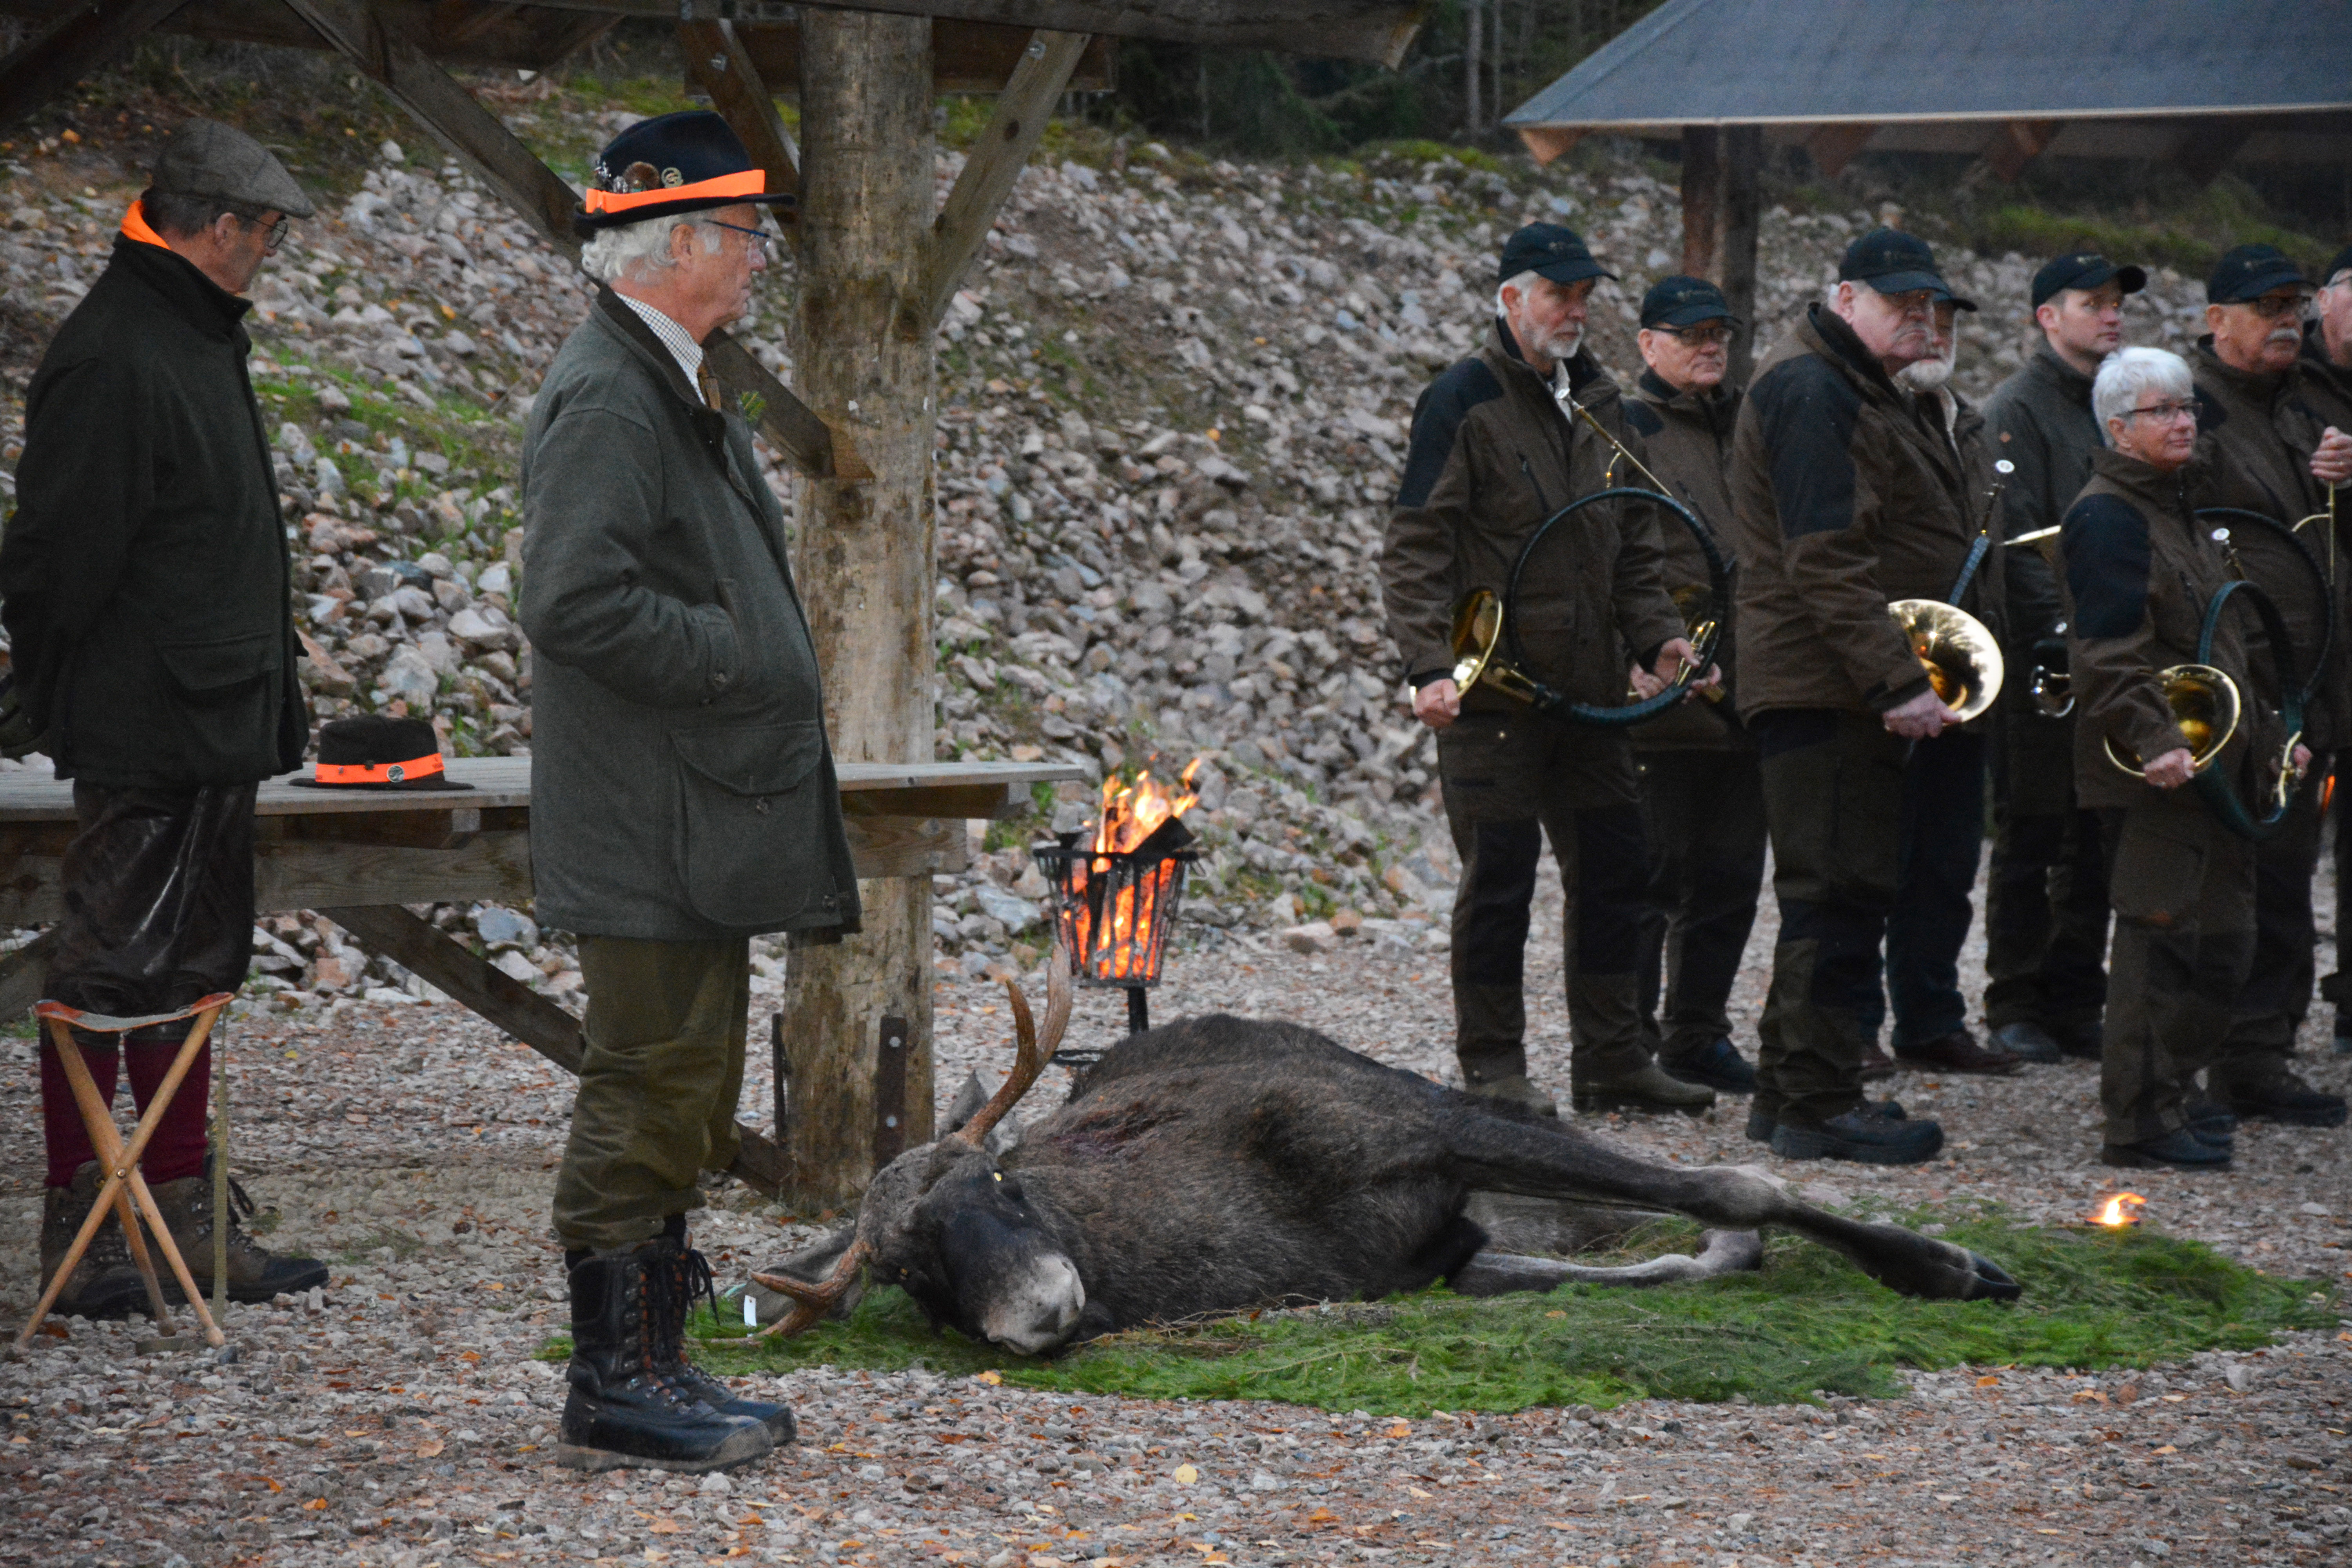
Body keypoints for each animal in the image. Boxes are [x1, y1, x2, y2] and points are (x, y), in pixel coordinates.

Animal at [751, 951, 2020, 1354]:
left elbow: (1737, 1179)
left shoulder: (1431, 1131)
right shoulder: (1425, 1251)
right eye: (911, 1271)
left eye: (1001, 1182)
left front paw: (1942, 1264)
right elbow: (1680, 1235)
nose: (1038, 1312)